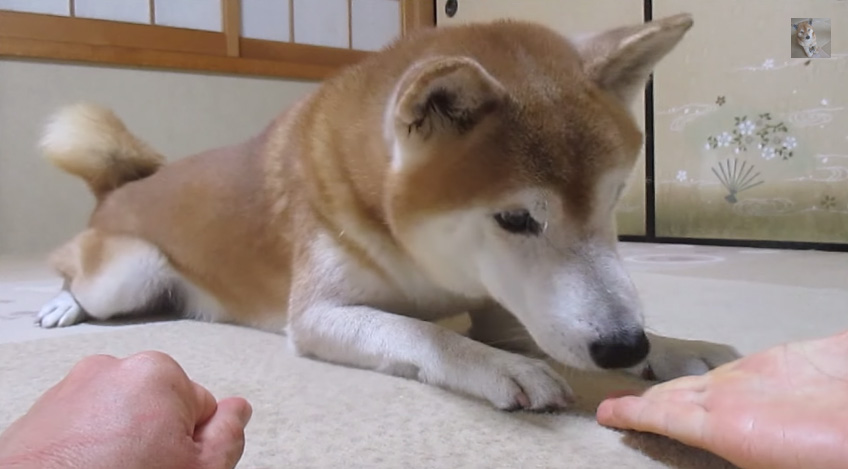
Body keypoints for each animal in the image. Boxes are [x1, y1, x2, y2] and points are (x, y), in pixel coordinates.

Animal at [34, 13, 736, 410]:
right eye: (516, 219)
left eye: (612, 201)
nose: (623, 346)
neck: (425, 266)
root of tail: (123, 186)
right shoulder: (317, 315)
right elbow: (425, 334)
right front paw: (504, 366)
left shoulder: (499, 301)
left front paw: (674, 347)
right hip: (129, 274)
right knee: (75, 274)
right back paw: (59, 305)